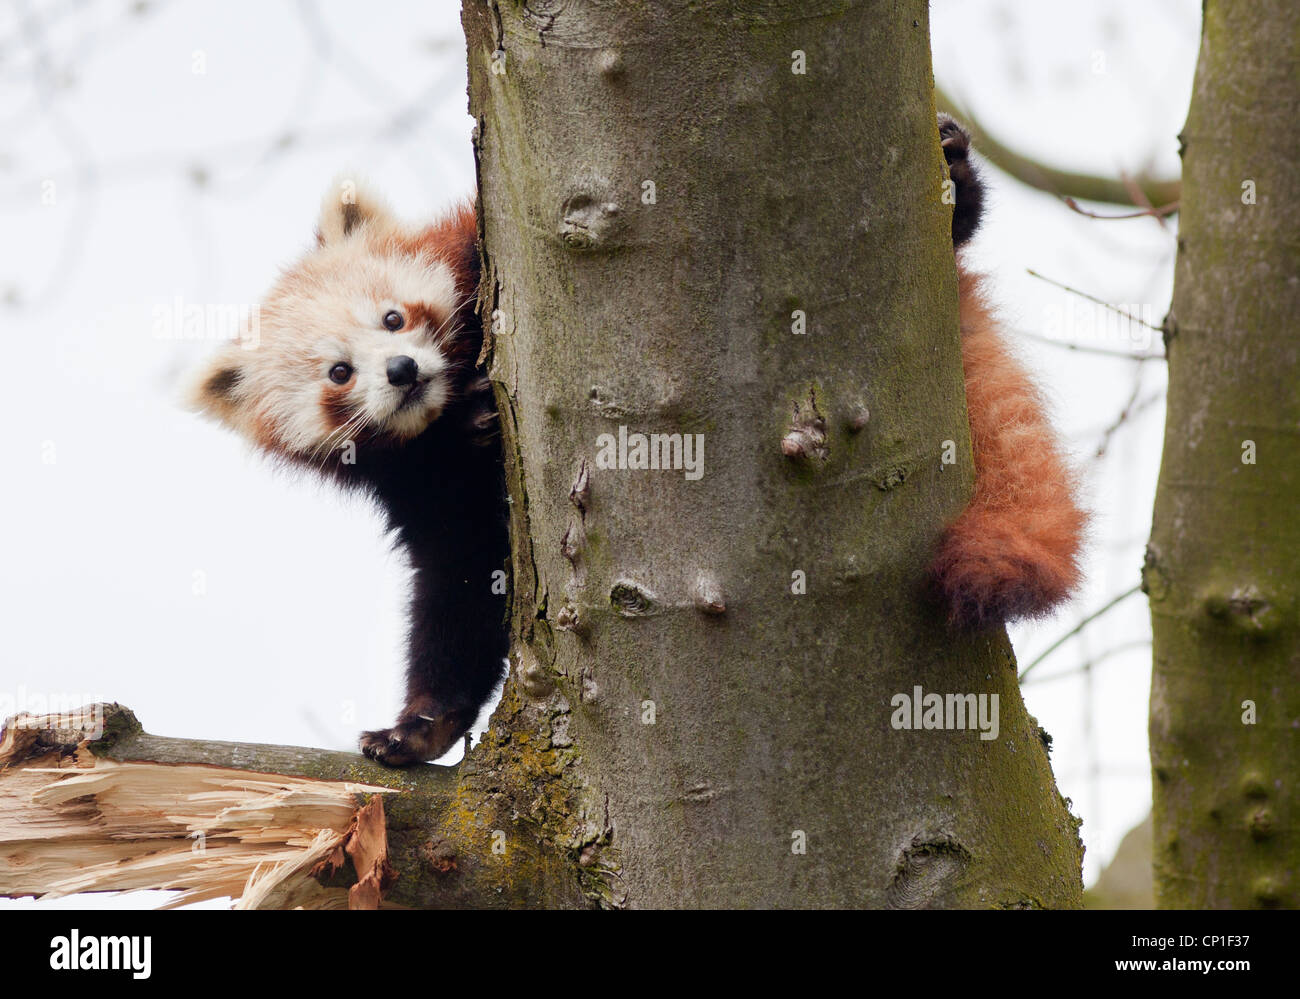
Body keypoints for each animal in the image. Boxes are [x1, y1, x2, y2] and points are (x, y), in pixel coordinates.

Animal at [188, 119, 1086, 770]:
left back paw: (953, 167)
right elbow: (458, 594)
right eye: (339, 372)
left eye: (394, 316)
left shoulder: (479, 245)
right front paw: (418, 727)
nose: (405, 372)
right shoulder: (433, 496)